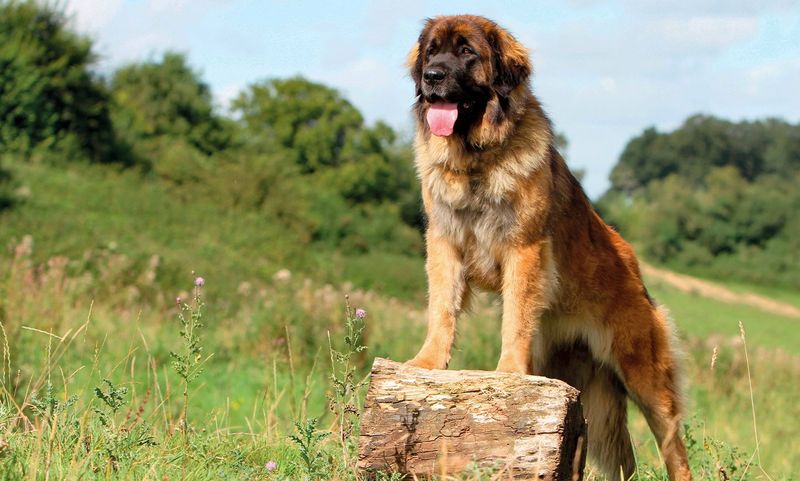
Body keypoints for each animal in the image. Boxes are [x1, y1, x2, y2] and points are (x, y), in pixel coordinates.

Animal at [406, 15, 692, 480]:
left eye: (467, 52)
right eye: (432, 52)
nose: (432, 77)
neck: (477, 161)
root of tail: (633, 266)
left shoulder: (524, 249)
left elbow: (515, 318)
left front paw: (507, 373)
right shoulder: (445, 244)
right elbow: (442, 308)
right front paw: (427, 363)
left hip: (644, 374)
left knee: (673, 446)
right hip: (577, 384)